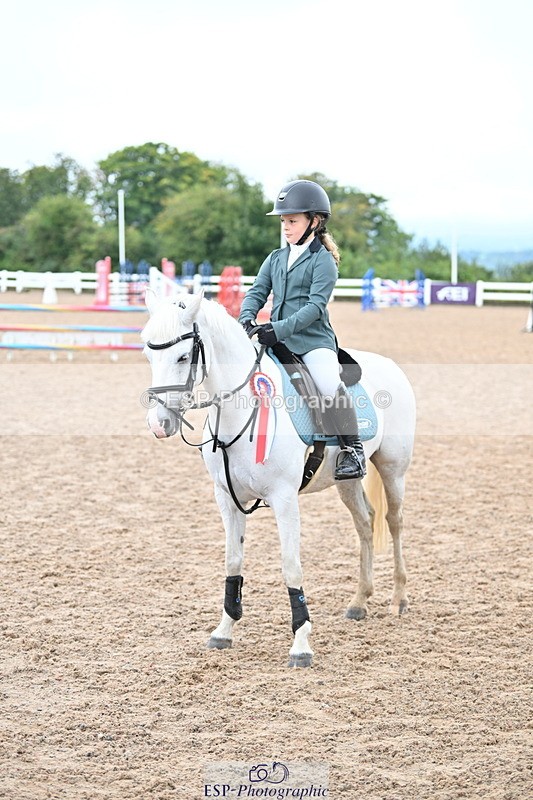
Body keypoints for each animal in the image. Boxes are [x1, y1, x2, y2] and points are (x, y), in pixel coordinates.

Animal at [142, 290, 416, 667]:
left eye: (183, 356)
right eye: (147, 354)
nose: (159, 424)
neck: (241, 411)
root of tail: (390, 365)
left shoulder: (284, 499)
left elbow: (291, 566)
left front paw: (301, 645)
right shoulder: (226, 498)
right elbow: (233, 561)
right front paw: (223, 631)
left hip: (392, 469)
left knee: (394, 522)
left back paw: (399, 599)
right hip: (346, 481)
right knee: (365, 523)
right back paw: (359, 601)